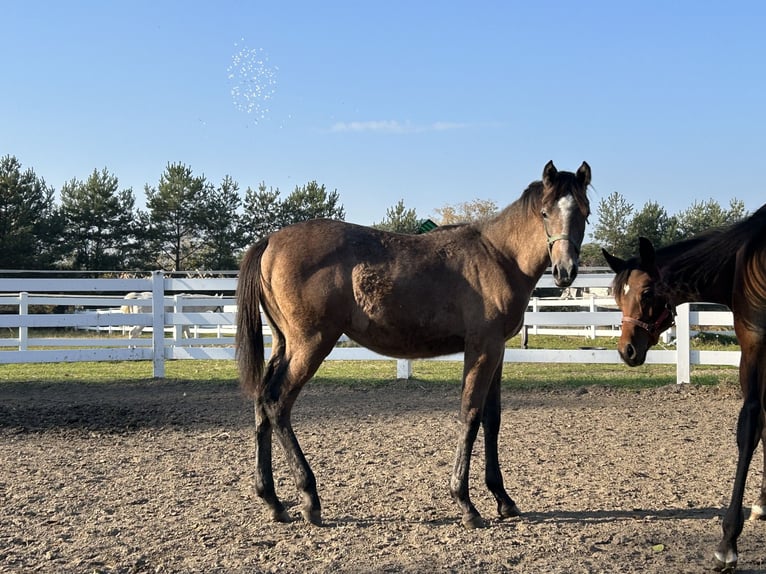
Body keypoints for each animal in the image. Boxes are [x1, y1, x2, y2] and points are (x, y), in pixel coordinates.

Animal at [236, 160, 592, 528]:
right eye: (545, 212)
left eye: (584, 212)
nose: (565, 271)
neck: (498, 256)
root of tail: (271, 240)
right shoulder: (482, 349)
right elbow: (470, 415)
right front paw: (465, 503)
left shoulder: (498, 349)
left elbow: (492, 419)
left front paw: (503, 499)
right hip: (311, 345)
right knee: (277, 403)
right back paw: (309, 497)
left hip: (285, 344)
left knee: (262, 401)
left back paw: (273, 500)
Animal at [604, 206, 766, 572]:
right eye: (617, 295)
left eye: (647, 293)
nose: (627, 350)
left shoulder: (753, 350)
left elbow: (749, 429)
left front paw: (728, 542)